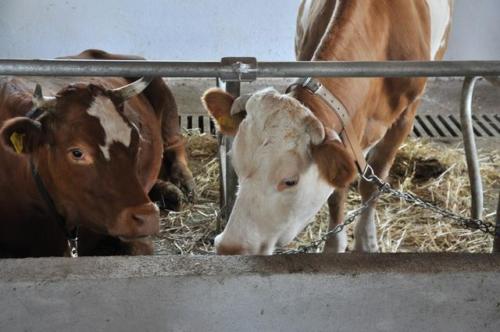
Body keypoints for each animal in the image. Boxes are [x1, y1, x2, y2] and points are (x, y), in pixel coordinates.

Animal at [203, 0, 454, 255]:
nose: (230, 247)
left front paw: (366, 242)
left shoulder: (405, 115)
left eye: (290, 181)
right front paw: (333, 246)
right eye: (236, 165)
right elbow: (336, 190)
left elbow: (371, 185)